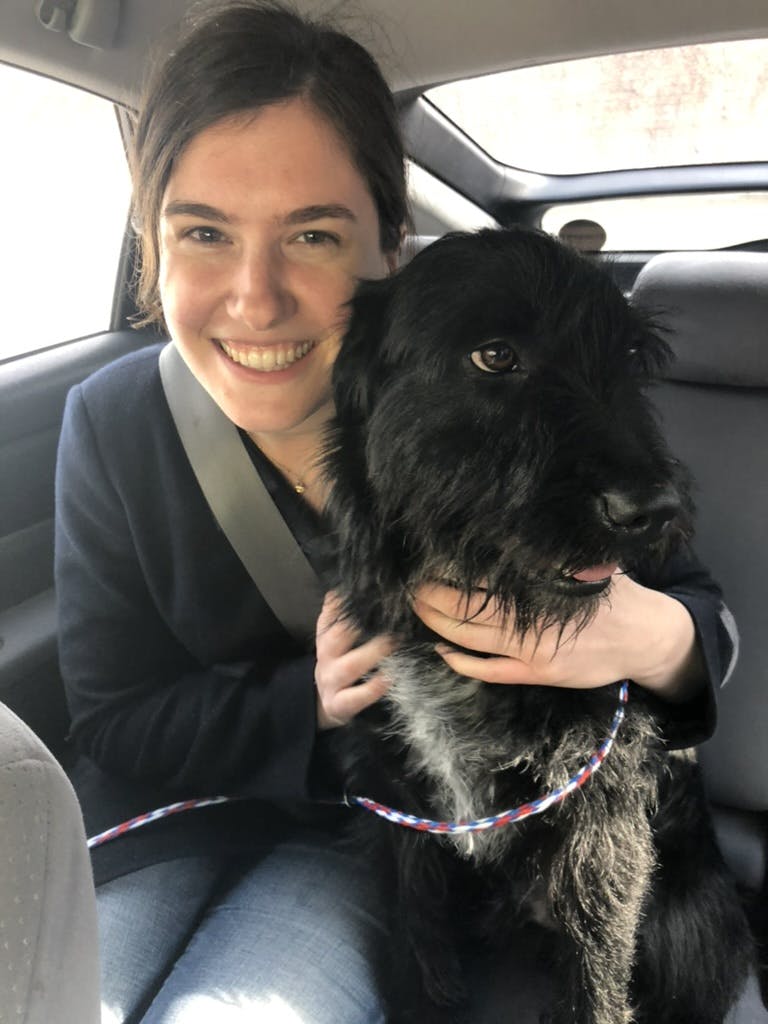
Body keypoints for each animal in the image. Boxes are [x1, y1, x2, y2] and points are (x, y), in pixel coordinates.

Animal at [321, 230, 753, 1024]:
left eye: (631, 357)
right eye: (494, 355)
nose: (655, 510)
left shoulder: (601, 820)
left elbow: (597, 969)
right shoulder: (396, 803)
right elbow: (416, 937)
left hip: (689, 921)